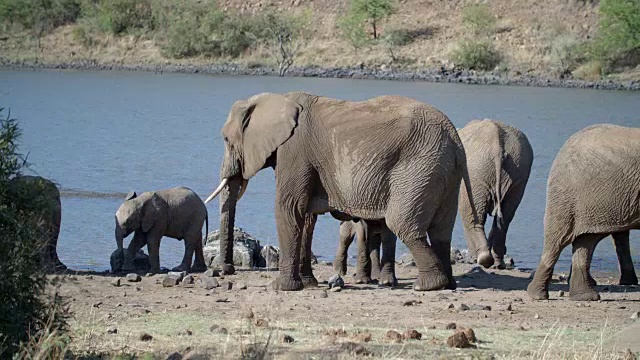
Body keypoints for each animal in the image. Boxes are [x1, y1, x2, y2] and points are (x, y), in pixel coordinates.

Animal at [205, 91, 484, 292]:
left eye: (226, 140)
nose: (227, 269)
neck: (276, 100)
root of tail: (456, 137)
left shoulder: (294, 151)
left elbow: (289, 207)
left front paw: (281, 287)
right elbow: (306, 217)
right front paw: (308, 283)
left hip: (420, 167)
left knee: (402, 223)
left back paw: (426, 286)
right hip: (444, 172)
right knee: (441, 231)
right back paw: (448, 284)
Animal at [458, 119, 532, 268]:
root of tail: (497, 149)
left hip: (476, 172)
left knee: (472, 216)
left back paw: (481, 260)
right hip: (518, 171)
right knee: (505, 217)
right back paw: (497, 263)